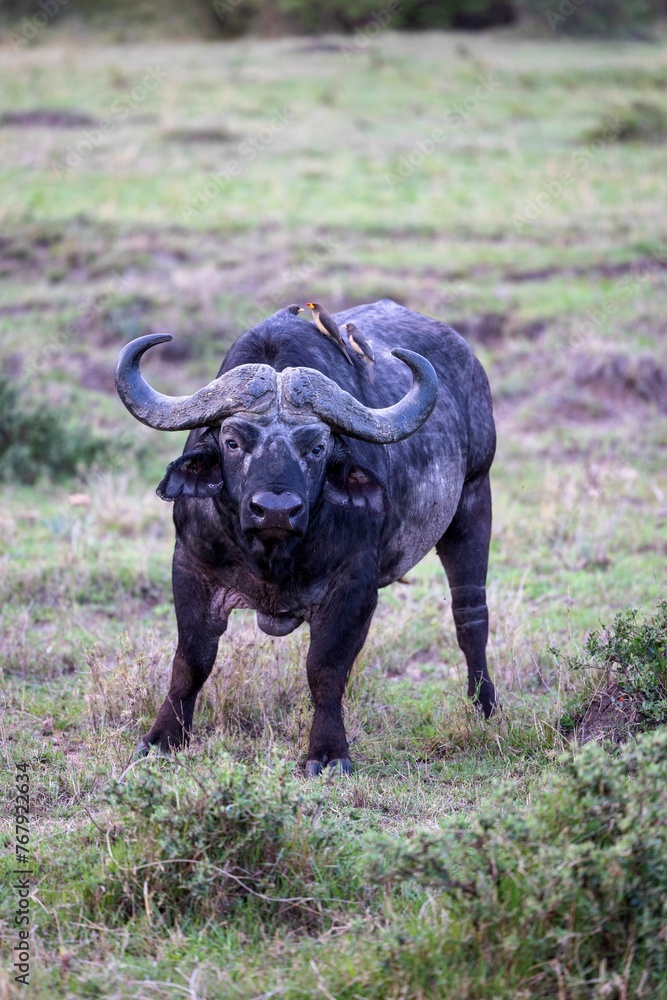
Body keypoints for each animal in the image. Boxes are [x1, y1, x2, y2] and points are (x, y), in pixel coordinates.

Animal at [115, 299, 496, 774]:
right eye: (233, 441)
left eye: (316, 447)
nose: (276, 509)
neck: (272, 555)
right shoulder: (190, 567)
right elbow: (190, 661)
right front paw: (163, 739)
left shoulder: (352, 587)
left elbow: (326, 669)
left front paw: (329, 753)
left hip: (474, 501)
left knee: (470, 615)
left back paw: (483, 706)